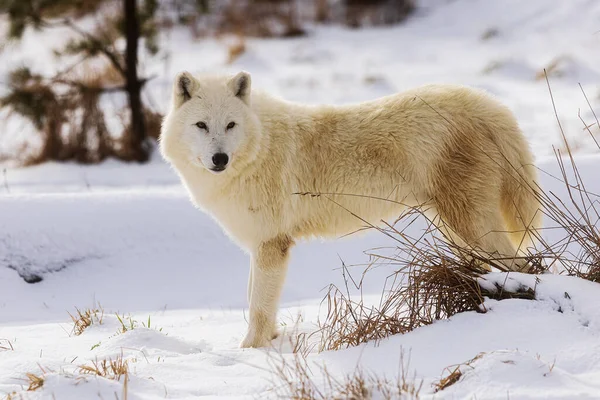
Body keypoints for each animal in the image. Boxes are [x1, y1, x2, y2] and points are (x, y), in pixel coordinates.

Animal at [161, 70, 544, 348]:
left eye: (230, 125)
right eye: (201, 125)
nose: (219, 159)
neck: (259, 148)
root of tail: (489, 103)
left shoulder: (272, 244)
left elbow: (258, 308)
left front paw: (250, 353)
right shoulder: (261, 246)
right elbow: (258, 304)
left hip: (469, 226)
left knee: (525, 267)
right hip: (457, 229)